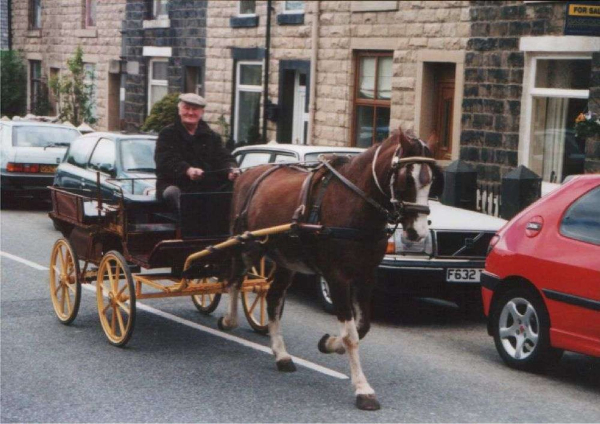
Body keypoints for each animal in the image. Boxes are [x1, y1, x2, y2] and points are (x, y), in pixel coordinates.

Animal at [218, 127, 442, 410]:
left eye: (432, 180)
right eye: (405, 179)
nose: (417, 233)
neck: (354, 203)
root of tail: (247, 173)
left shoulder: (366, 276)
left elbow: (362, 327)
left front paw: (329, 343)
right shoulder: (337, 277)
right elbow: (351, 335)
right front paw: (363, 389)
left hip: (286, 260)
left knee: (273, 299)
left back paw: (281, 354)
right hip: (247, 247)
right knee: (234, 280)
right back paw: (229, 320)